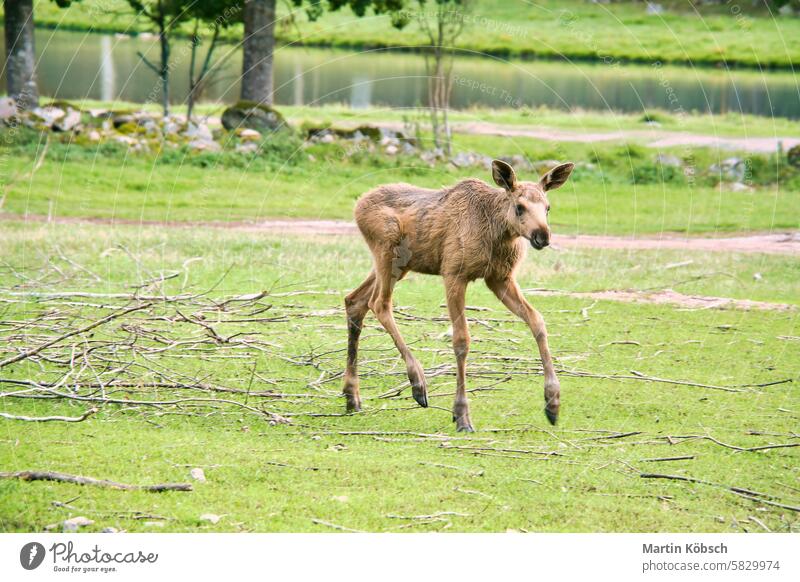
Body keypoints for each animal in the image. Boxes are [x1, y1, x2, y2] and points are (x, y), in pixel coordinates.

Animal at [344, 160, 576, 434]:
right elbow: (461, 340)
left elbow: (537, 321)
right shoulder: (454, 273)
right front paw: (462, 415)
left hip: (400, 265)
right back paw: (417, 384)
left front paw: (553, 403)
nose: (543, 236)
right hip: (388, 253)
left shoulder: (499, 278)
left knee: (354, 300)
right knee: (378, 303)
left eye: (548, 208)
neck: (500, 234)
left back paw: (352, 397)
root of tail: (358, 205)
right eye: (519, 207)